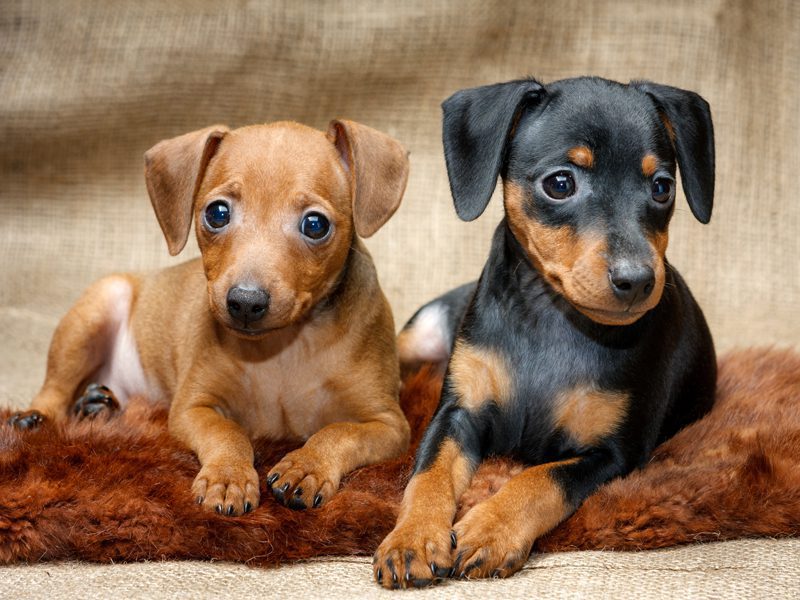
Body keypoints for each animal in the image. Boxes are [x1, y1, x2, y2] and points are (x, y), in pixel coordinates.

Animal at [9, 120, 412, 516]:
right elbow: (227, 432)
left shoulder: (389, 424)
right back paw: (35, 417)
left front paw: (307, 465)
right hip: (95, 310)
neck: (283, 348)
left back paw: (96, 405)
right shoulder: (193, 407)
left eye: (315, 224)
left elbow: (339, 432)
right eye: (217, 213)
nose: (245, 302)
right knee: (54, 389)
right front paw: (229, 475)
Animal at [376, 77, 720, 588]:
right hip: (425, 336)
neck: (552, 318)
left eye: (662, 187)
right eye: (560, 183)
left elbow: (540, 479)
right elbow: (428, 474)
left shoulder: (611, 454)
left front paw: (490, 529)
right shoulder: (457, 415)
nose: (639, 280)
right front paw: (411, 539)